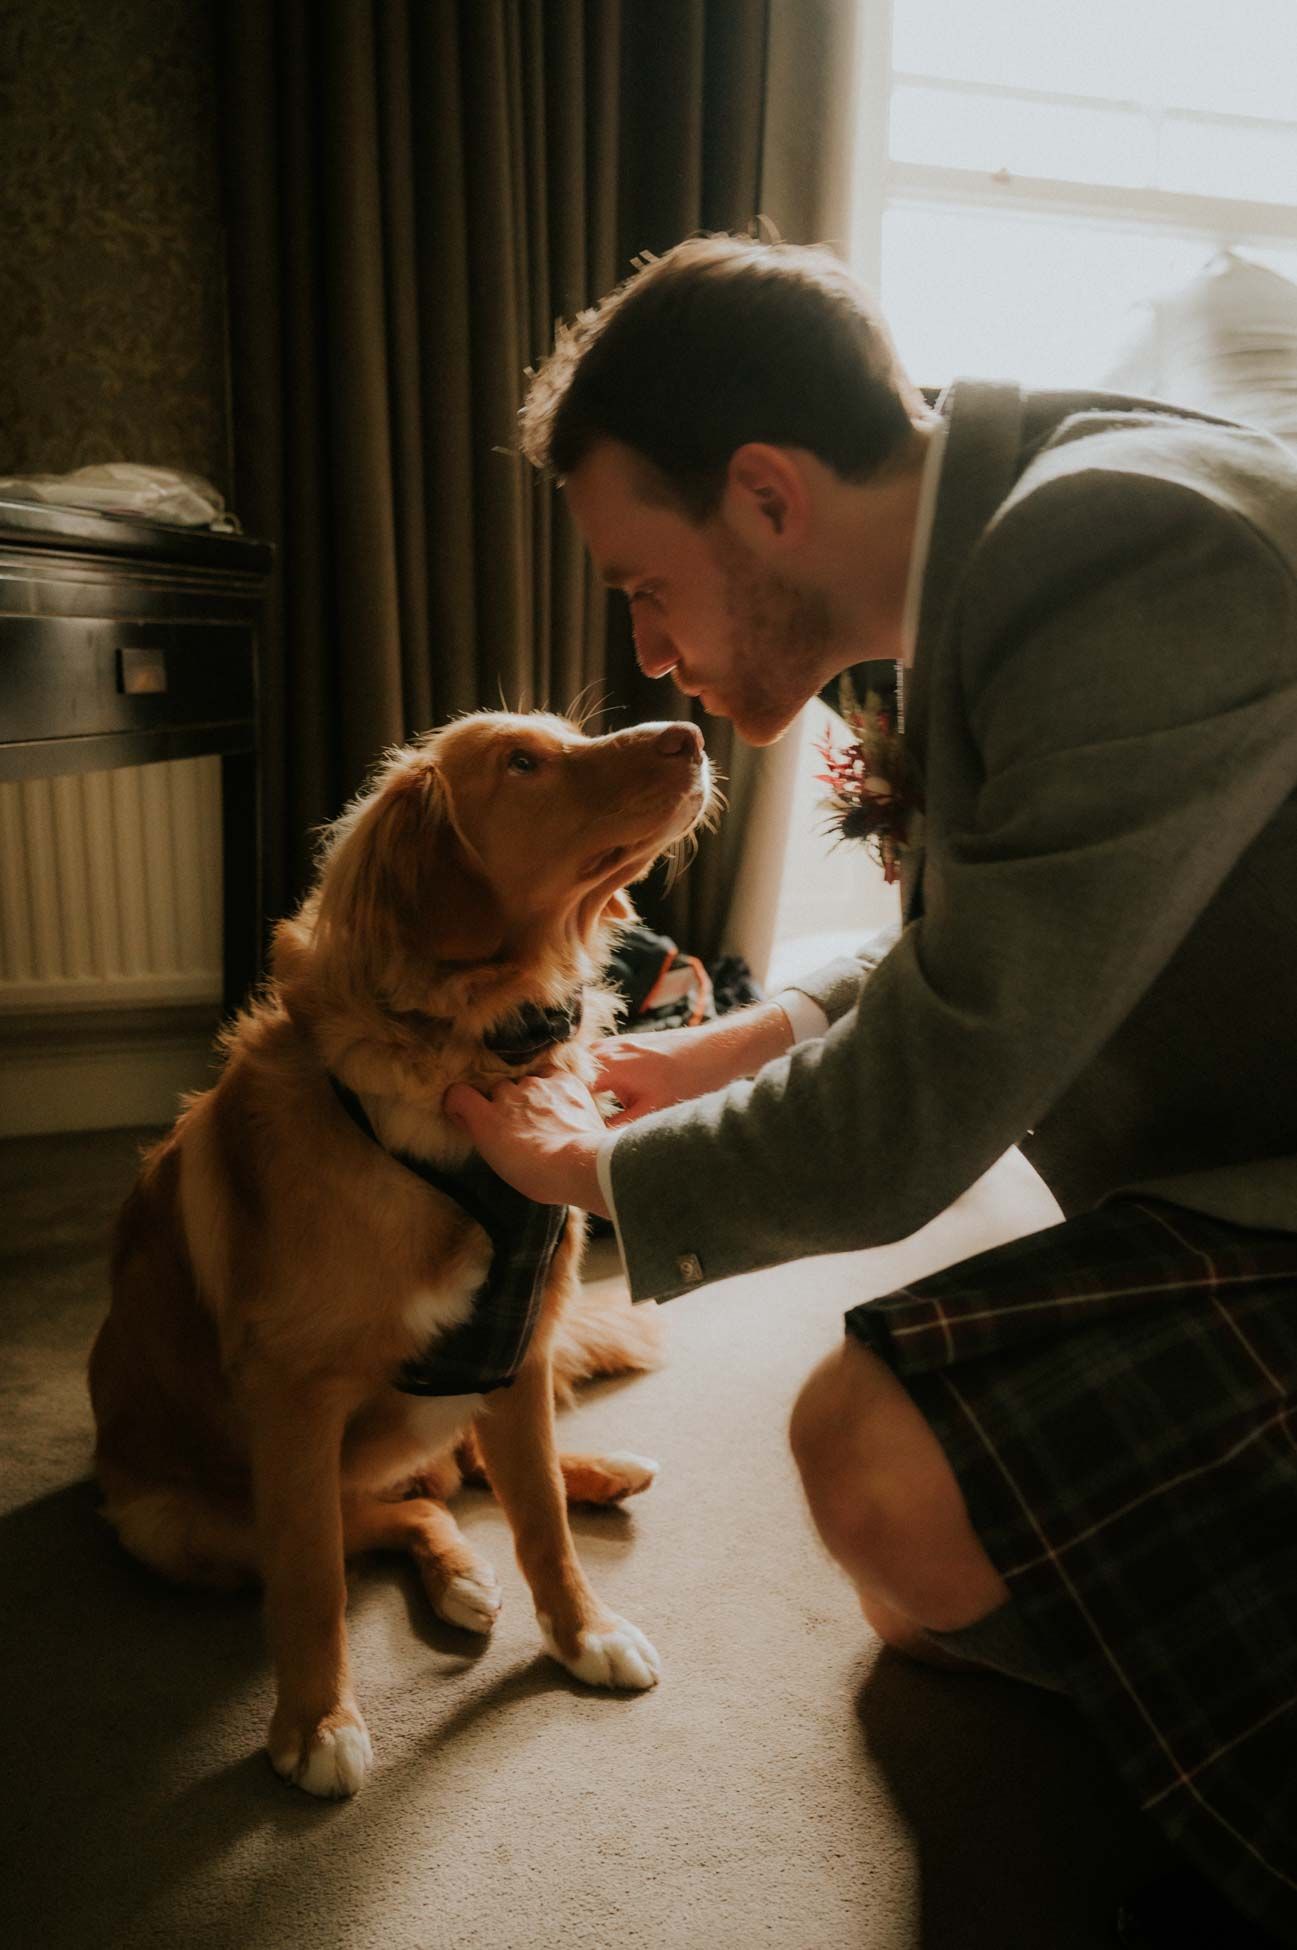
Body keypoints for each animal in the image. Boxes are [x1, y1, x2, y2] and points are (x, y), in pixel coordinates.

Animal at [88, 705, 717, 1794]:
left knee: (461, 1475)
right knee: (395, 1517)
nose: (689, 732)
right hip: (170, 1524)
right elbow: (312, 1579)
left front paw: (582, 1632)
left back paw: (597, 1473)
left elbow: (542, 1521)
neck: (471, 1049)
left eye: (562, 735)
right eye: (523, 764)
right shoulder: (296, 1400)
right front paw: (315, 1724)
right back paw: (458, 1570)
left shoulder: (517, 1345)